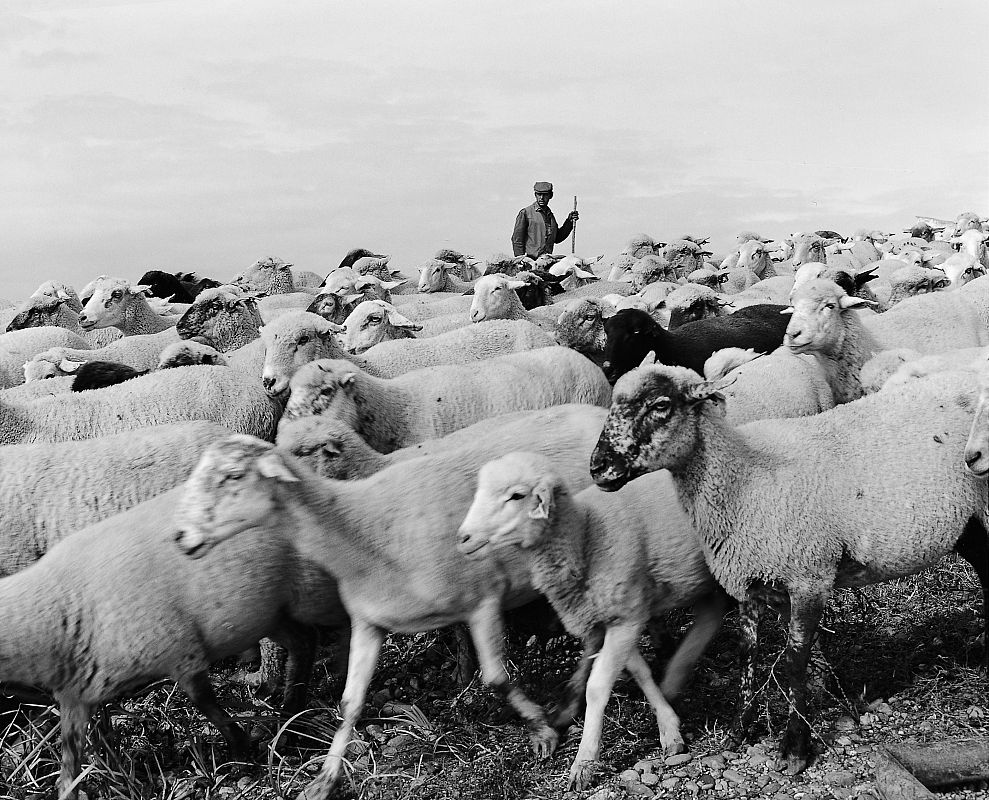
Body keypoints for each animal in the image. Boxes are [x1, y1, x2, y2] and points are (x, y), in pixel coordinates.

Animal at [0, 484, 344, 796]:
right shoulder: (76, 696)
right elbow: (69, 763)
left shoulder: (181, 651)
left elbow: (205, 703)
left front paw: (239, 750)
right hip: (267, 612)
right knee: (304, 641)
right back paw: (290, 718)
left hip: (310, 587)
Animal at [456, 454, 724, 792]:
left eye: (516, 495)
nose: (462, 538)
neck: (586, 535)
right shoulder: (613, 615)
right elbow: (640, 672)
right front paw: (669, 727)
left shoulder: (626, 615)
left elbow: (597, 688)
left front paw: (583, 762)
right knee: (714, 611)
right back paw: (676, 675)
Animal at [588, 362, 988, 776]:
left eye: (661, 405)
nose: (597, 467)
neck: (745, 479)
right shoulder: (750, 583)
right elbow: (750, 657)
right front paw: (738, 731)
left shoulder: (810, 577)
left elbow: (795, 663)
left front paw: (795, 747)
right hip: (969, 525)